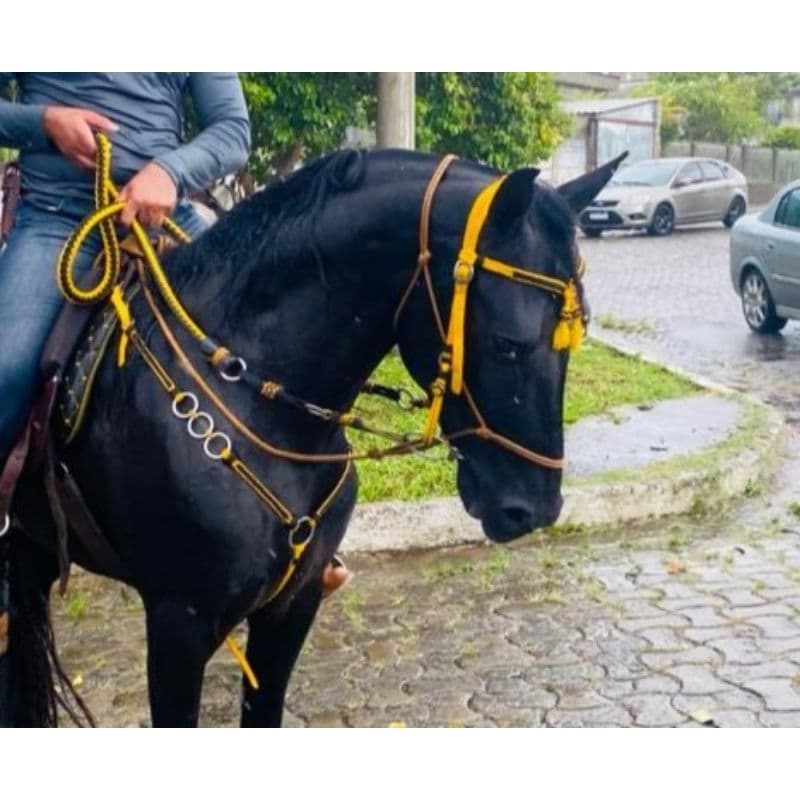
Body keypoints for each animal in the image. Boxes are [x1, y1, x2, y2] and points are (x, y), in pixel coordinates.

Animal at [0, 147, 623, 727]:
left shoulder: (291, 608)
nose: (533, 509)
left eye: (576, 335)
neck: (259, 403)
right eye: (507, 344)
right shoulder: (180, 624)